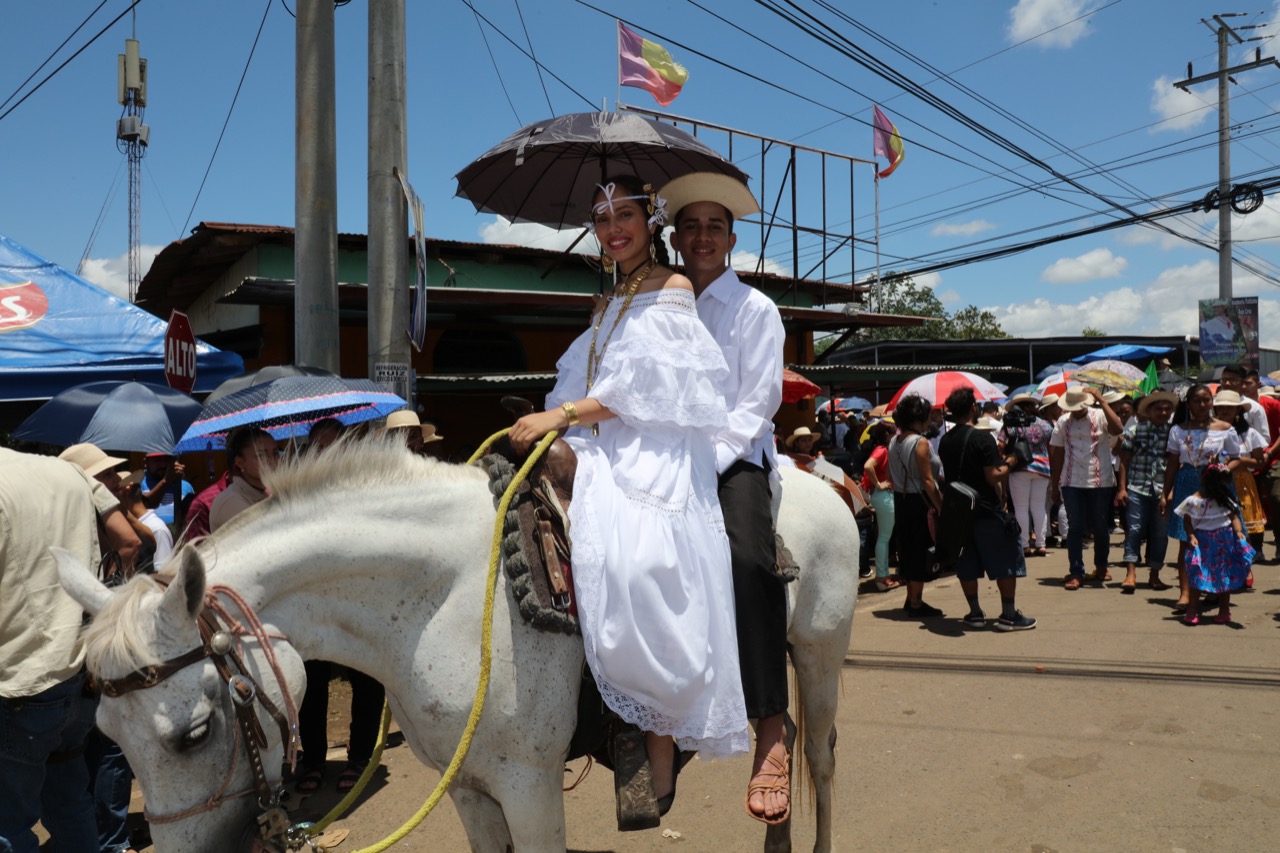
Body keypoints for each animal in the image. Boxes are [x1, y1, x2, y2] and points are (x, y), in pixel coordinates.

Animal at [57, 438, 860, 850]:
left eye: (193, 733)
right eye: (105, 733)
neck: (447, 594)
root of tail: (821, 483)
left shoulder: (530, 788)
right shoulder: (470, 787)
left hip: (820, 651)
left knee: (820, 757)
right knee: (782, 733)